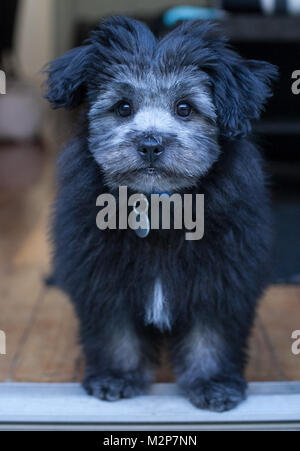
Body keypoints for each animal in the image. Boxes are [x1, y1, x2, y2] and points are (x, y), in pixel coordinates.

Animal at [44, 16, 276, 414]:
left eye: (185, 108)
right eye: (123, 108)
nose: (150, 144)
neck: (161, 206)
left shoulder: (221, 275)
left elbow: (211, 334)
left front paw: (213, 383)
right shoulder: (104, 275)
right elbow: (115, 332)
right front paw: (117, 377)